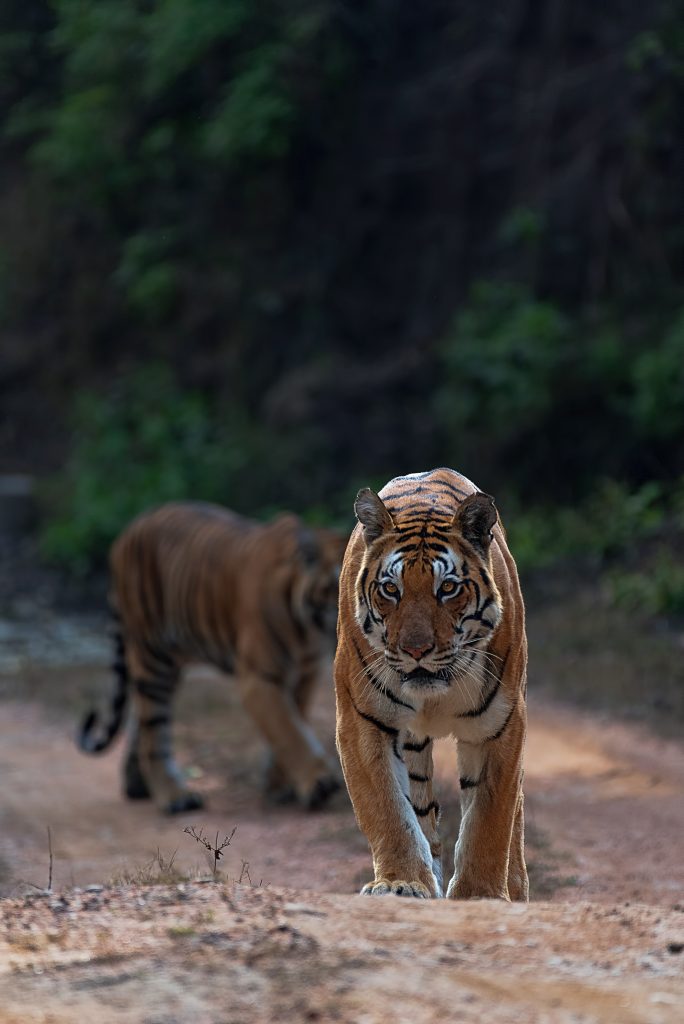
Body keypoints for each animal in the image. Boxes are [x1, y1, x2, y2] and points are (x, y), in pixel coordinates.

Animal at [78, 503, 348, 815]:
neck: (310, 630)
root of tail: (127, 533)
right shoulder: (259, 677)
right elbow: (288, 729)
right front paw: (318, 781)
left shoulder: (304, 675)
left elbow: (292, 725)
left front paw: (280, 785)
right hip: (152, 656)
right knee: (153, 732)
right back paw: (175, 796)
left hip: (169, 660)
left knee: (140, 720)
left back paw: (138, 785)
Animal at [331, 468, 528, 901]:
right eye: (391, 589)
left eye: (448, 588)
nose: (416, 650)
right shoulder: (363, 721)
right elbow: (389, 810)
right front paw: (400, 883)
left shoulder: (500, 726)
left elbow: (490, 817)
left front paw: (480, 894)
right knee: (422, 813)